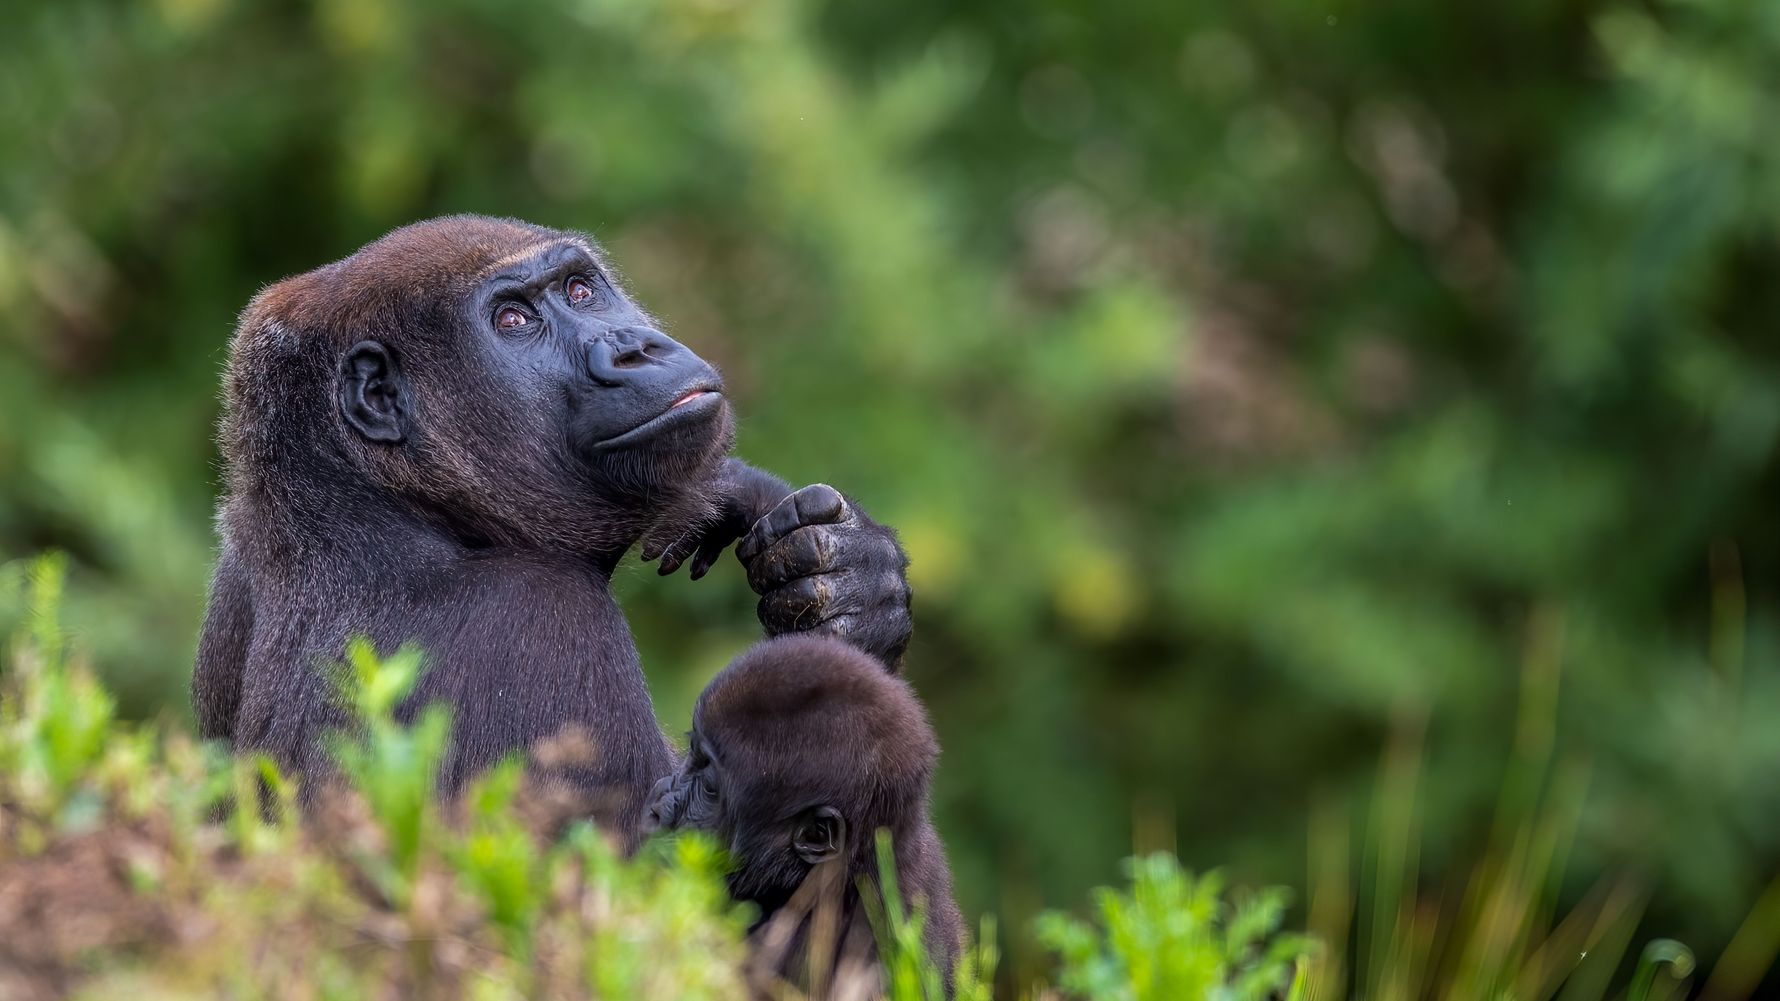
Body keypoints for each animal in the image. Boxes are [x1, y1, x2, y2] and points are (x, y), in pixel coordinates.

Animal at [191, 215, 914, 839]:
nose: (636, 350)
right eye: (513, 321)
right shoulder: (536, 620)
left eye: (580, 289)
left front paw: (851, 580)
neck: (368, 506)